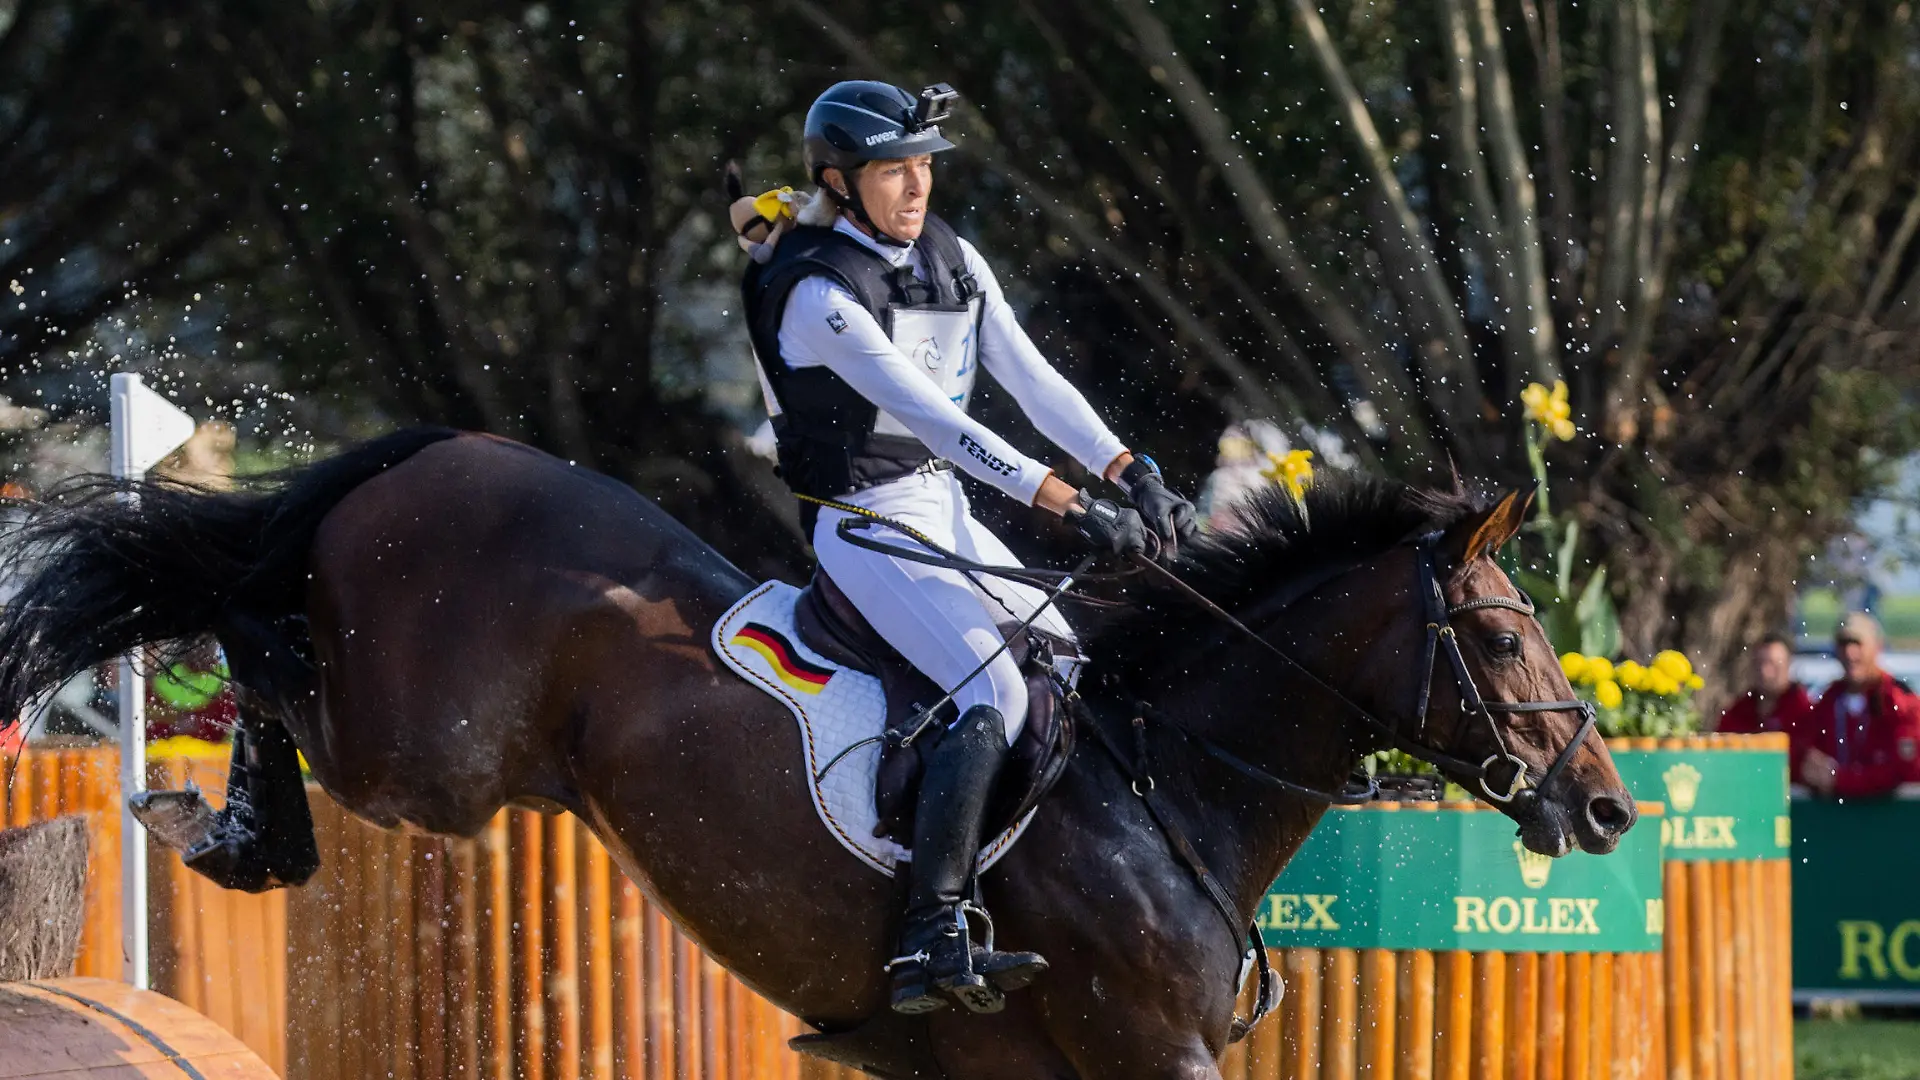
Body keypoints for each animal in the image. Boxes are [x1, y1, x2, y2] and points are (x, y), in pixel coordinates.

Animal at [0, 430, 1635, 1079]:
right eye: (1503, 639)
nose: (1610, 807)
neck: (1165, 788)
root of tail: (442, 448)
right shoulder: (1146, 1050)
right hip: (429, 756)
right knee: (253, 642)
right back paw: (210, 817)